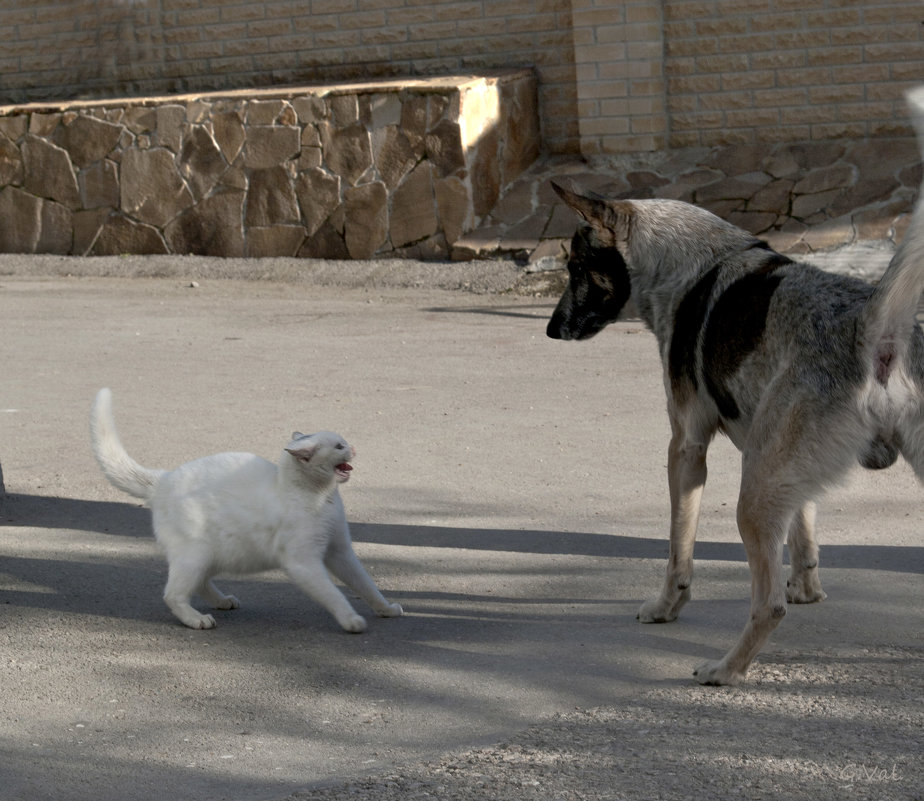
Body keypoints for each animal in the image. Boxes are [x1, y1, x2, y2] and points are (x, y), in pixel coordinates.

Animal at [89, 388, 400, 632]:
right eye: (339, 446)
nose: (354, 448)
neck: (320, 497)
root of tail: (163, 479)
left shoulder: (340, 551)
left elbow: (366, 585)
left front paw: (385, 609)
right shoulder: (304, 562)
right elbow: (335, 595)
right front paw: (351, 620)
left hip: (214, 555)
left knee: (198, 584)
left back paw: (222, 601)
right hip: (196, 555)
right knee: (173, 594)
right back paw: (197, 619)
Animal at [544, 89, 924, 688]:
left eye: (577, 267)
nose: (551, 329)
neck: (691, 265)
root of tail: (874, 330)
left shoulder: (686, 448)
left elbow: (678, 551)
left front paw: (665, 608)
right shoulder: (783, 475)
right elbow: (804, 534)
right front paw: (809, 587)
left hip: (751, 497)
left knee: (767, 606)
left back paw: (725, 669)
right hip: (773, 480)